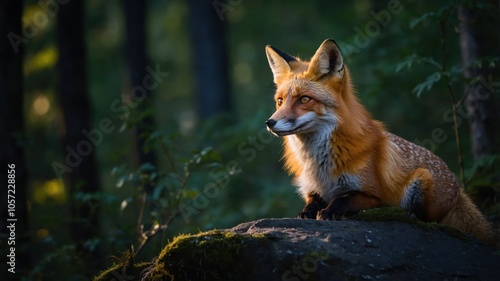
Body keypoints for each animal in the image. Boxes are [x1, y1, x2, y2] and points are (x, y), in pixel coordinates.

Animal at [264, 38, 494, 242]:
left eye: (304, 99)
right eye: (280, 101)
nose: (270, 122)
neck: (319, 164)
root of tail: (459, 190)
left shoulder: (375, 196)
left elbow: (343, 198)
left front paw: (330, 211)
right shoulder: (312, 190)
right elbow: (312, 203)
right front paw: (306, 213)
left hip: (422, 179)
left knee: (428, 220)